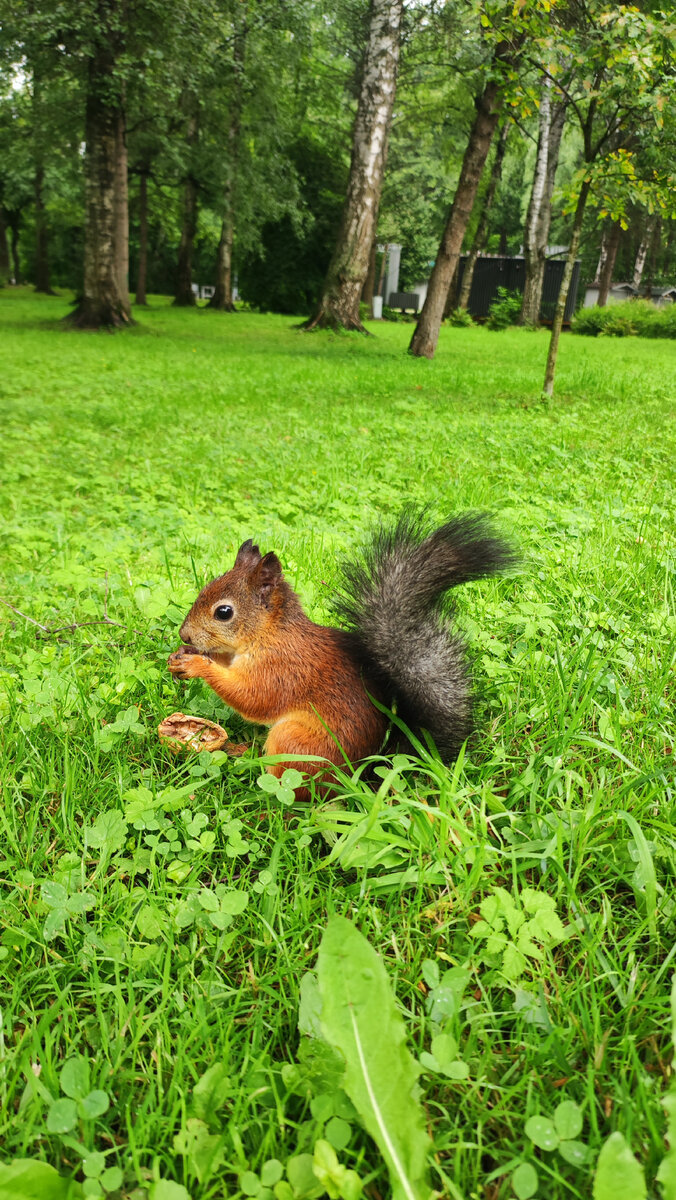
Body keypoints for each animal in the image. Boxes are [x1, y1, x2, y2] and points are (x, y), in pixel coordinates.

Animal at [168, 506, 513, 796]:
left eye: (224, 612)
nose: (184, 633)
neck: (269, 635)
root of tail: (360, 776)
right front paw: (183, 655)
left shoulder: (283, 668)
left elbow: (253, 698)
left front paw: (198, 665)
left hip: (295, 741)